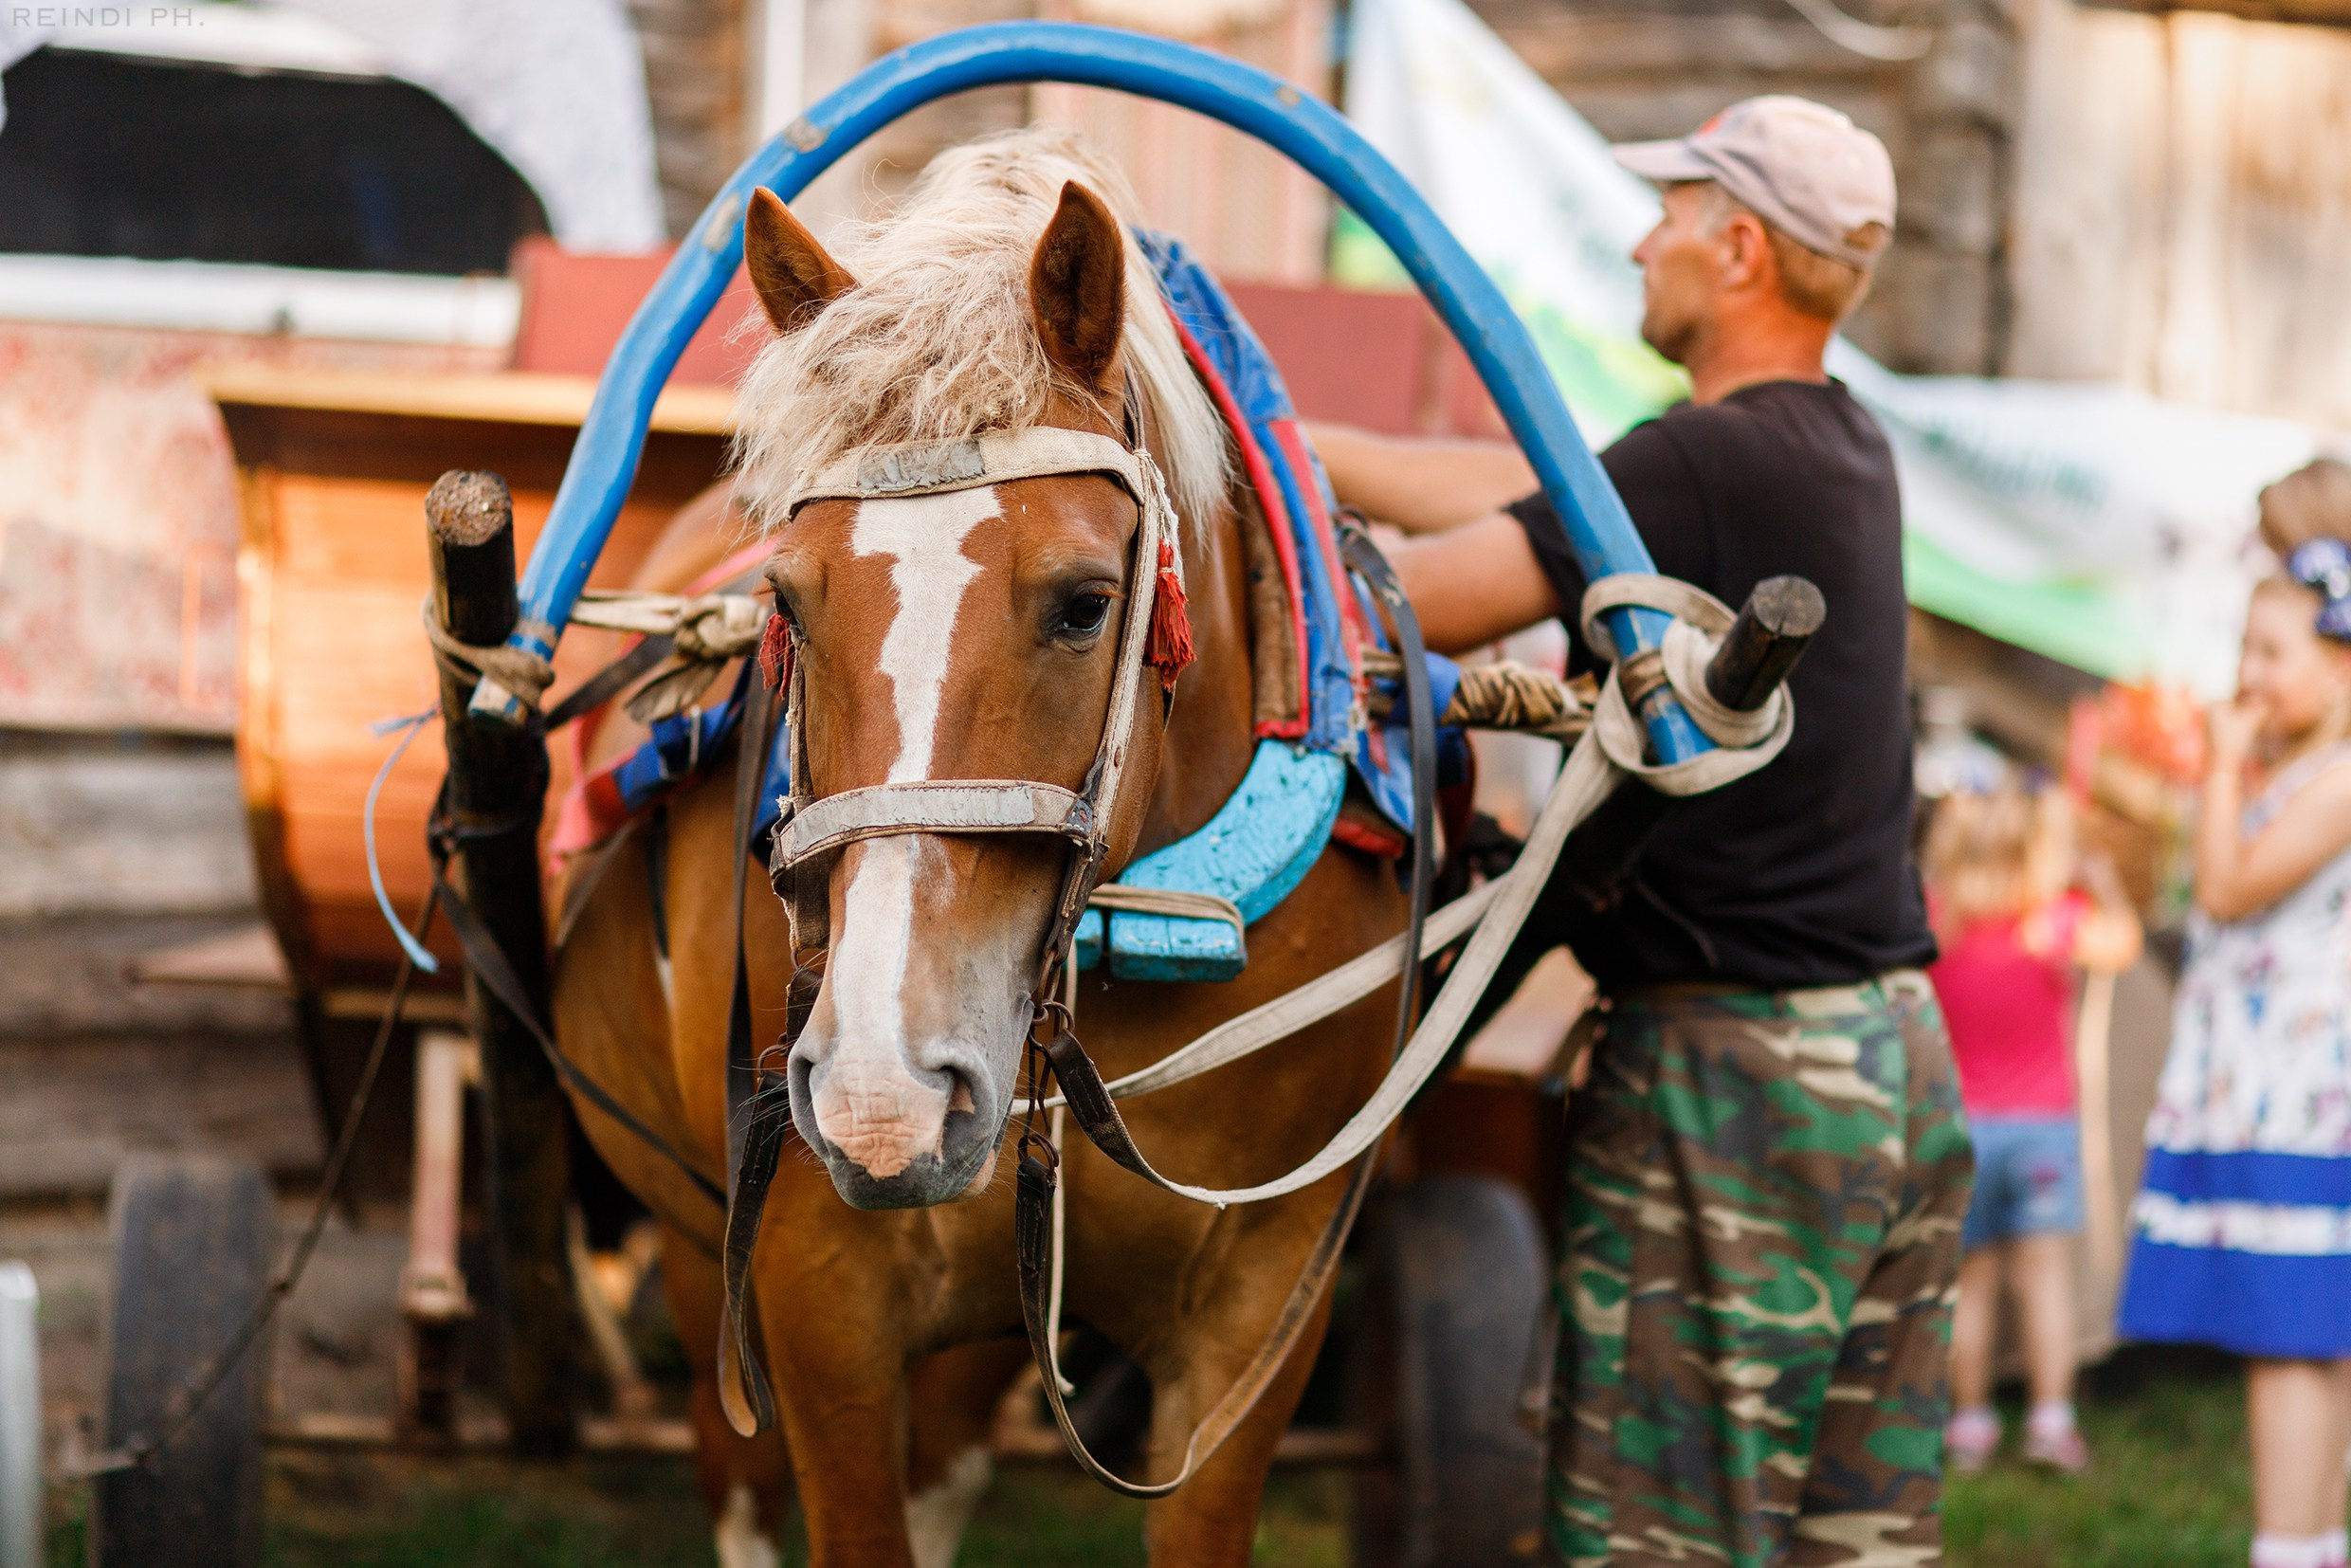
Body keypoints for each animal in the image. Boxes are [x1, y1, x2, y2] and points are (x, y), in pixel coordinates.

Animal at [547, 126, 1411, 1567]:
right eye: (787, 598)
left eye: (1084, 603)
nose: (882, 1087)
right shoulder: (812, 1288)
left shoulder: (1259, 1306)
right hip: (690, 1230)